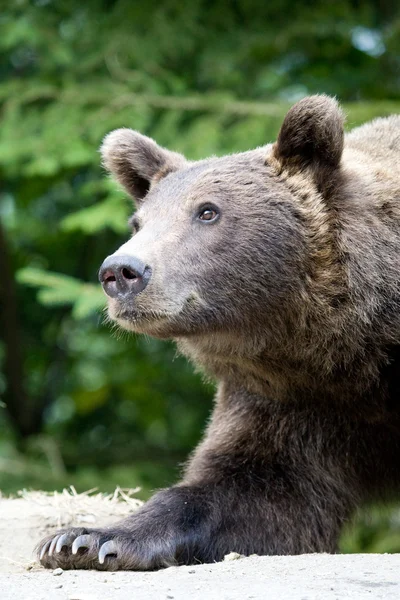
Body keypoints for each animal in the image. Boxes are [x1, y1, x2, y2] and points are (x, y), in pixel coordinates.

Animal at [37, 96, 400, 568]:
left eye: (208, 211)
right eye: (139, 222)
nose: (121, 272)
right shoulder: (292, 398)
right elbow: (254, 490)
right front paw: (84, 539)